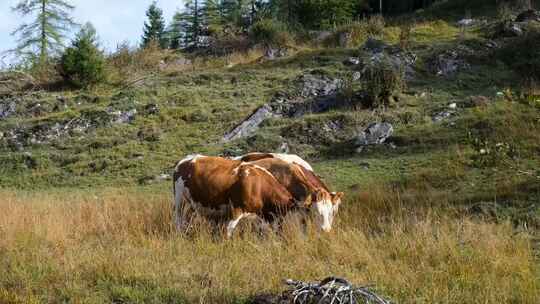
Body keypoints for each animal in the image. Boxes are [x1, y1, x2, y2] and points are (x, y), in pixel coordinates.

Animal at [171, 154, 310, 238]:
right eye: (301, 217)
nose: (305, 234)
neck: (260, 185)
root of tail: (186, 159)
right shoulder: (236, 209)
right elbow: (228, 231)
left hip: (192, 203)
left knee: (187, 219)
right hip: (179, 199)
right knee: (178, 219)